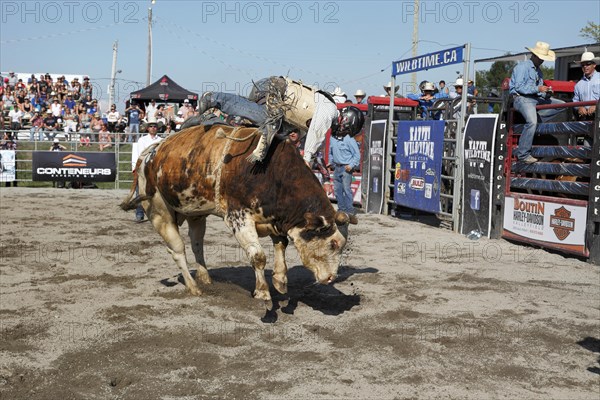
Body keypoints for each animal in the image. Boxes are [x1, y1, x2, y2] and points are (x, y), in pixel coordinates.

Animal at [120, 123, 350, 302]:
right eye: (332, 244)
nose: (332, 278)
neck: (270, 171)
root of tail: (149, 154)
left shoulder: (275, 219)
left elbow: (281, 244)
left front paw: (280, 280)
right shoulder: (238, 217)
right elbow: (258, 255)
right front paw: (263, 292)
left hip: (195, 213)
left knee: (197, 243)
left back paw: (205, 277)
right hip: (159, 212)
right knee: (177, 250)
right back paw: (194, 286)